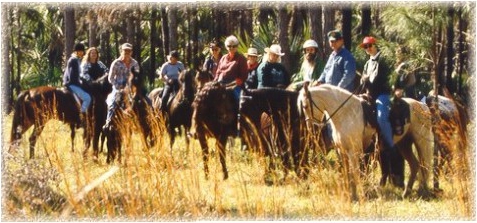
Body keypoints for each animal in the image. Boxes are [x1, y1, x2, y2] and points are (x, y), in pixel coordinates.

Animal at [300, 83, 434, 199]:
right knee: (415, 165)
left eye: (305, 106)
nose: (310, 127)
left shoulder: (353, 151)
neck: (346, 114)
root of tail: (423, 106)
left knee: (425, 165)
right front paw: (349, 195)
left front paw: (357, 195)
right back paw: (406, 192)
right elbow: (347, 173)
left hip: (422, 141)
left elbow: (355, 173)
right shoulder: (342, 151)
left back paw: (422, 191)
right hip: (404, 144)